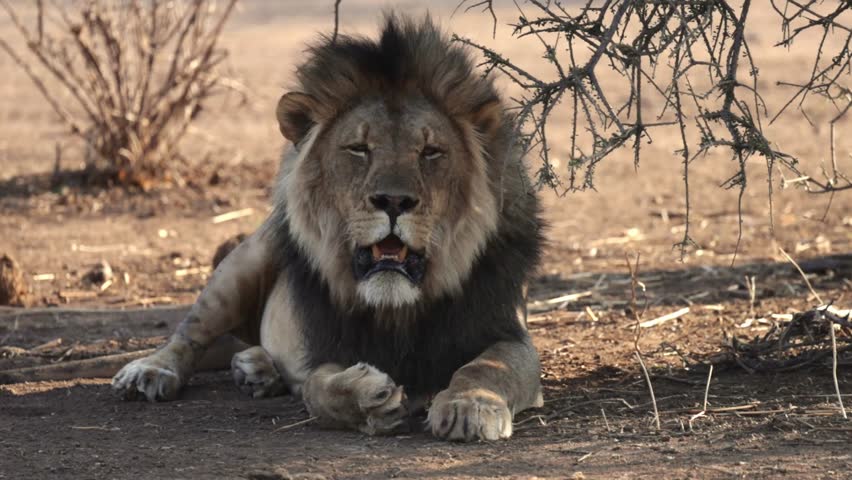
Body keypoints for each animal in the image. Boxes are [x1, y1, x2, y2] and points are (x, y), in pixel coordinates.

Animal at [110, 14, 544, 442]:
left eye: (431, 151)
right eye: (359, 149)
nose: (393, 201)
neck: (397, 308)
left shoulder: (509, 333)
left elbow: (484, 367)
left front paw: (470, 407)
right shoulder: (325, 347)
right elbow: (318, 388)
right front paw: (368, 398)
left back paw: (256, 369)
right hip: (243, 263)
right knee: (189, 333)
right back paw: (151, 371)